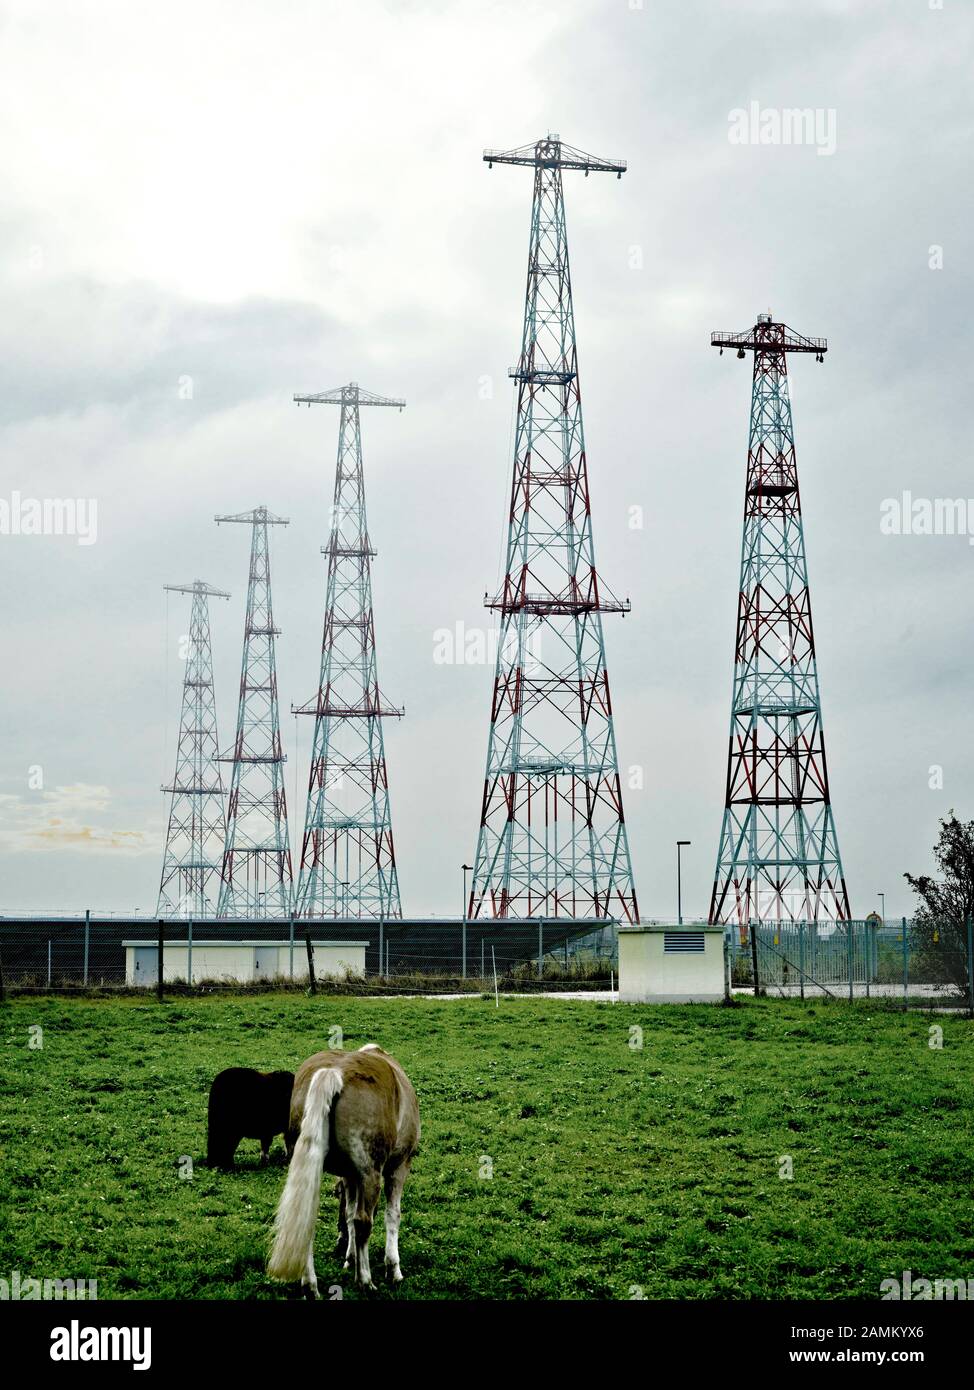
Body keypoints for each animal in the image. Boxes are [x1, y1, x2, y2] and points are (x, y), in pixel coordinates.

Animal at [265, 1045, 416, 1289]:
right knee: (363, 1222)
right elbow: (392, 1215)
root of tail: (333, 1073)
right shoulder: (398, 1167)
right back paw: (365, 1280)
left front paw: (350, 1258)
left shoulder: (349, 1176)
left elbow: (348, 1213)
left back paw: (310, 1286)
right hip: (371, 1174)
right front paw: (393, 1269)